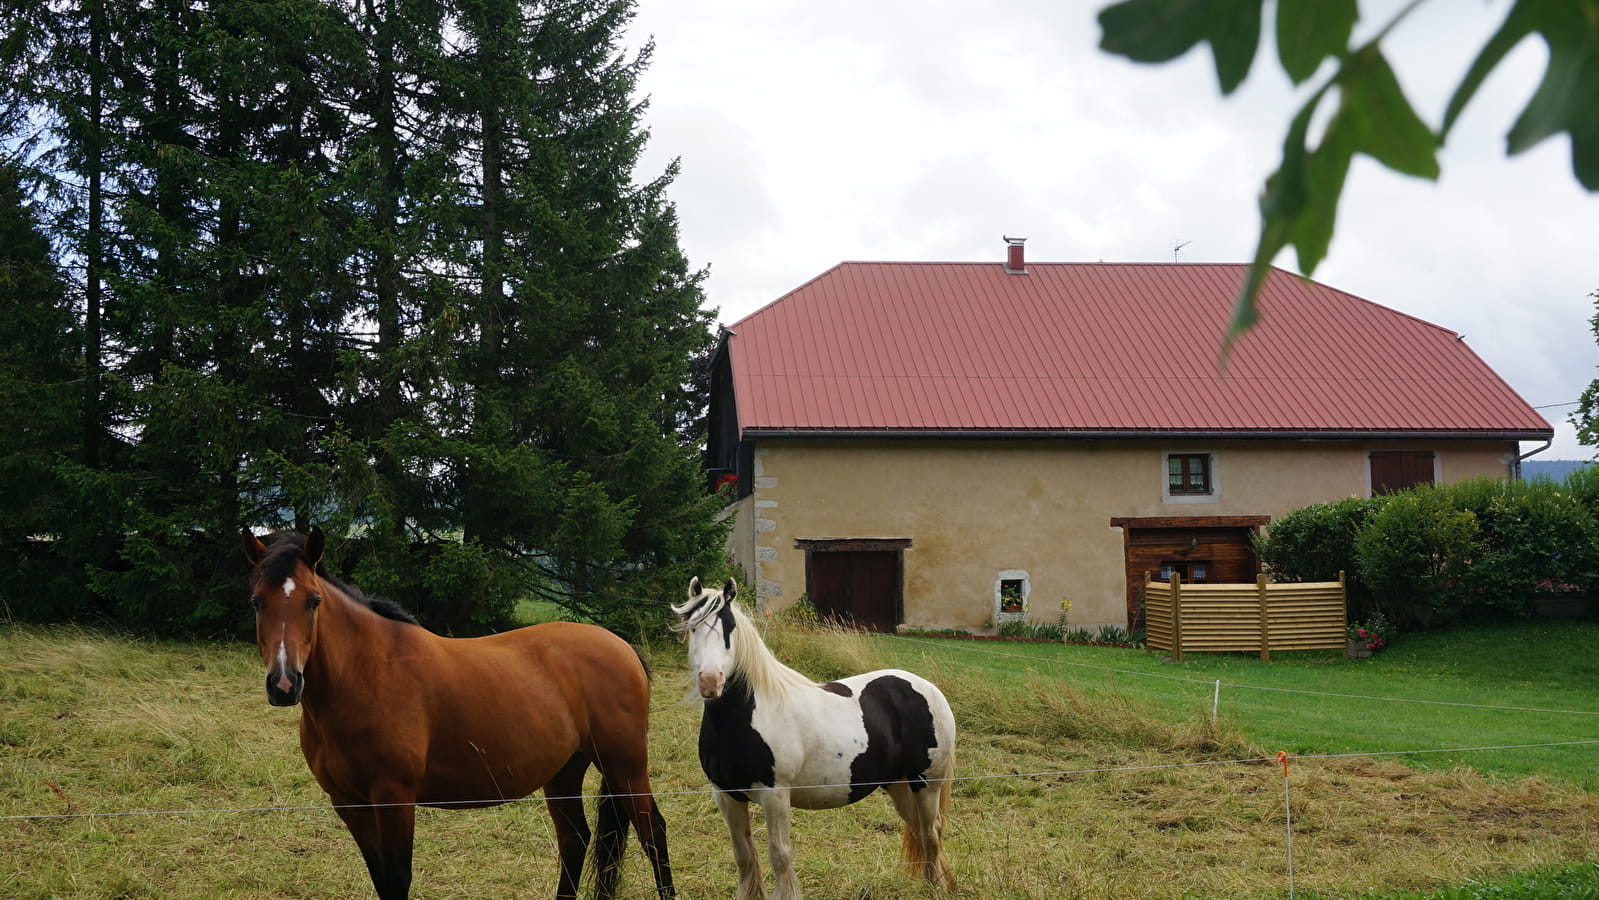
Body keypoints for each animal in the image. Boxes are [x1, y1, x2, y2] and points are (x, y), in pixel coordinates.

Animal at [243, 527, 674, 900]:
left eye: (313, 601)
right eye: (256, 601)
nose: (284, 684)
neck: (367, 673)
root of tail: (622, 646)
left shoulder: (394, 798)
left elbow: (397, 879)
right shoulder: (349, 804)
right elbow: (381, 879)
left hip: (624, 766)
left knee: (652, 833)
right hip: (566, 770)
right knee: (575, 839)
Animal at [671, 578, 953, 900]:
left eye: (729, 628)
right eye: (692, 626)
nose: (710, 682)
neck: (749, 714)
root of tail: (930, 689)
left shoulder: (775, 795)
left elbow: (780, 855)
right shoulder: (726, 795)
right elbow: (743, 855)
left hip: (926, 784)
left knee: (931, 833)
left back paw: (935, 887)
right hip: (898, 785)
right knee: (920, 830)